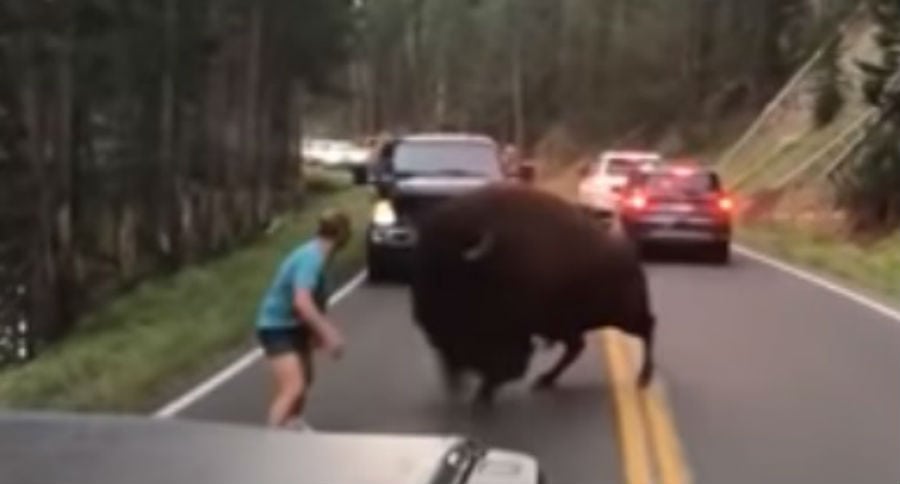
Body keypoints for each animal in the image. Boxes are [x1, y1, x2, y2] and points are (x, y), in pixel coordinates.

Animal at [408, 185, 652, 404]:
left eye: (448, 271)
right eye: (419, 263)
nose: (421, 315)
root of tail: (631, 255)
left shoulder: (510, 332)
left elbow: (504, 361)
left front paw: (483, 394)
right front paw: (477, 391)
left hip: (623, 316)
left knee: (647, 328)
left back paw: (643, 378)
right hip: (567, 325)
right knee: (576, 347)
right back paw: (545, 380)